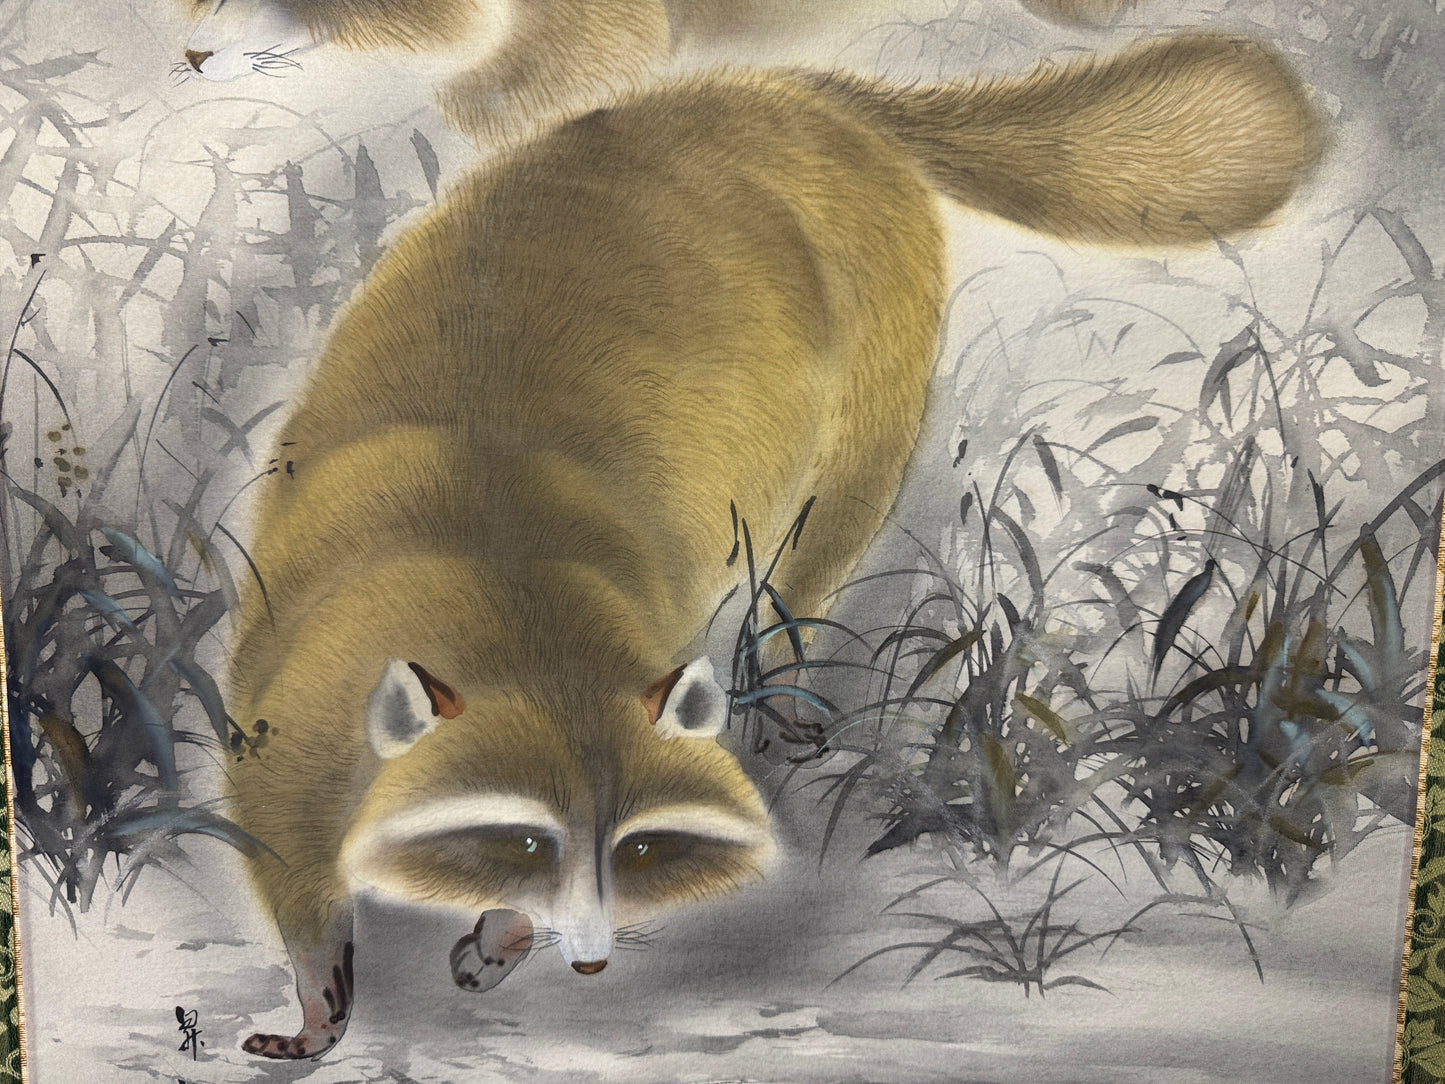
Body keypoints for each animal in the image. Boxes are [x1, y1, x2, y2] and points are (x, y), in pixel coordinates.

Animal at [228, 33, 1322, 1058]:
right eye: (525, 840)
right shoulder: (294, 686)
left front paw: (497, 934)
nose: (588, 956)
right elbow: (283, 846)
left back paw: (789, 660)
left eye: (635, 850)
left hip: (878, 339)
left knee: (823, 539)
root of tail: (792, 93)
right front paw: (327, 986)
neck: (509, 600)